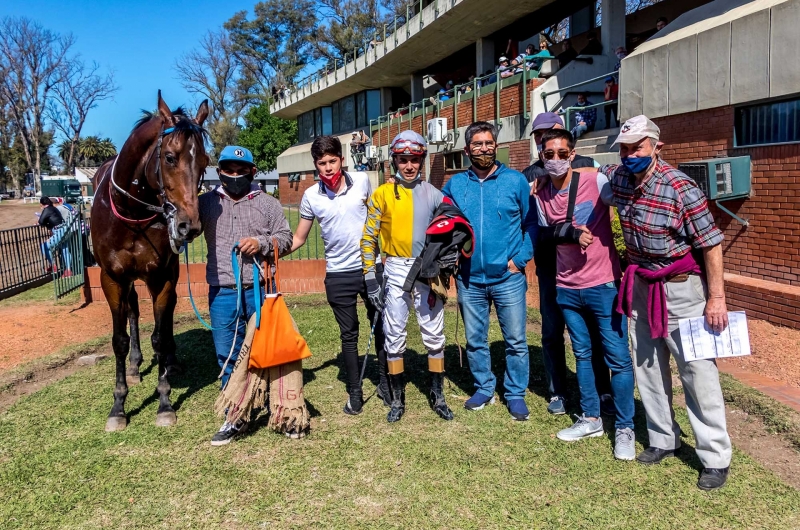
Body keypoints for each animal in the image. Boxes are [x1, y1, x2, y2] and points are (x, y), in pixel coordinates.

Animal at [91, 91, 209, 428]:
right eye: (169, 157)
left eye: (205, 162)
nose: (188, 225)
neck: (131, 214)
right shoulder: (112, 278)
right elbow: (118, 339)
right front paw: (118, 406)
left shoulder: (161, 275)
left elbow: (159, 335)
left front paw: (165, 401)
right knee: (132, 311)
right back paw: (134, 364)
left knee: (166, 318)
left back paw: (170, 359)